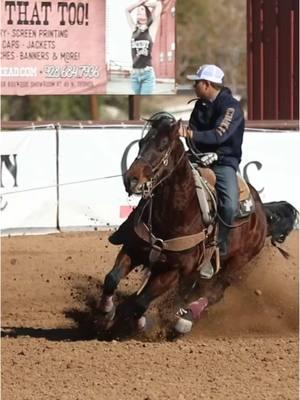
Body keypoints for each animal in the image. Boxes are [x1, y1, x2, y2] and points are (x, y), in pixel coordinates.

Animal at [98, 111, 298, 338]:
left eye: (162, 146)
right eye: (141, 143)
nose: (131, 179)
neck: (174, 214)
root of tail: (262, 211)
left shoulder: (173, 271)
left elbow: (141, 302)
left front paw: (139, 323)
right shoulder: (133, 249)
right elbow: (112, 278)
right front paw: (107, 312)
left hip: (238, 261)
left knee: (215, 292)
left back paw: (186, 319)